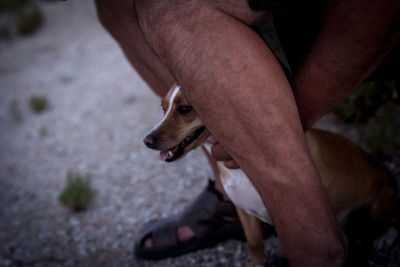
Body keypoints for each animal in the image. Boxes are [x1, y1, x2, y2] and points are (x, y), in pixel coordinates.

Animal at [144, 85, 396, 266]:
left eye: (184, 109)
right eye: (163, 108)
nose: (147, 140)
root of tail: (383, 167)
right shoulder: (245, 213)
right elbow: (254, 244)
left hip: (377, 210)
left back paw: (384, 240)